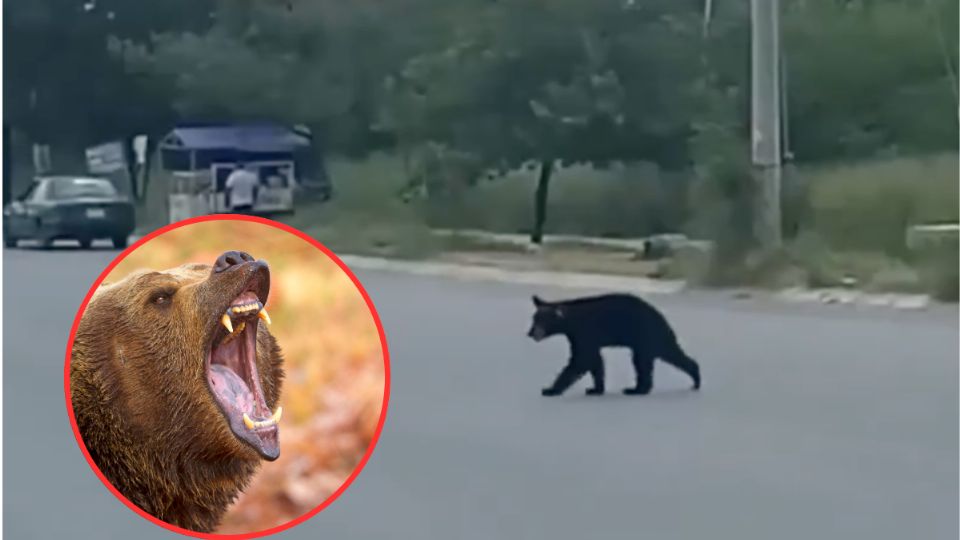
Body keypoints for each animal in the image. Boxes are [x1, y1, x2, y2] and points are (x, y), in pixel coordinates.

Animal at [526, 293, 700, 396]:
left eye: (539, 322)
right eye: (533, 319)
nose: (530, 333)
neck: (571, 321)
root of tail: (662, 317)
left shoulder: (585, 331)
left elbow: (581, 359)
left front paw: (550, 389)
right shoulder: (580, 336)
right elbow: (595, 360)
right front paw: (595, 389)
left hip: (646, 335)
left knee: (651, 359)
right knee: (656, 358)